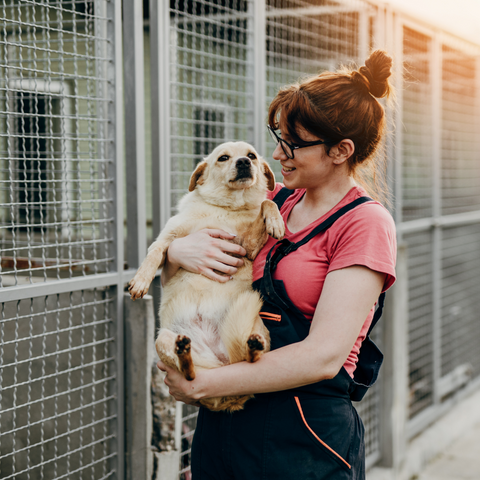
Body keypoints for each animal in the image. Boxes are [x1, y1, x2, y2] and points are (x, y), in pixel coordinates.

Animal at [127, 141, 284, 410]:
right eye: (223, 158)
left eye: (251, 155)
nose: (244, 162)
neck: (225, 208)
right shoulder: (169, 238)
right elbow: (154, 252)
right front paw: (141, 281)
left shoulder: (248, 247)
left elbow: (266, 204)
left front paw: (276, 221)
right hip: (162, 339)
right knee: (190, 375)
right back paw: (184, 353)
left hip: (258, 328)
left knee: (249, 361)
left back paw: (252, 348)